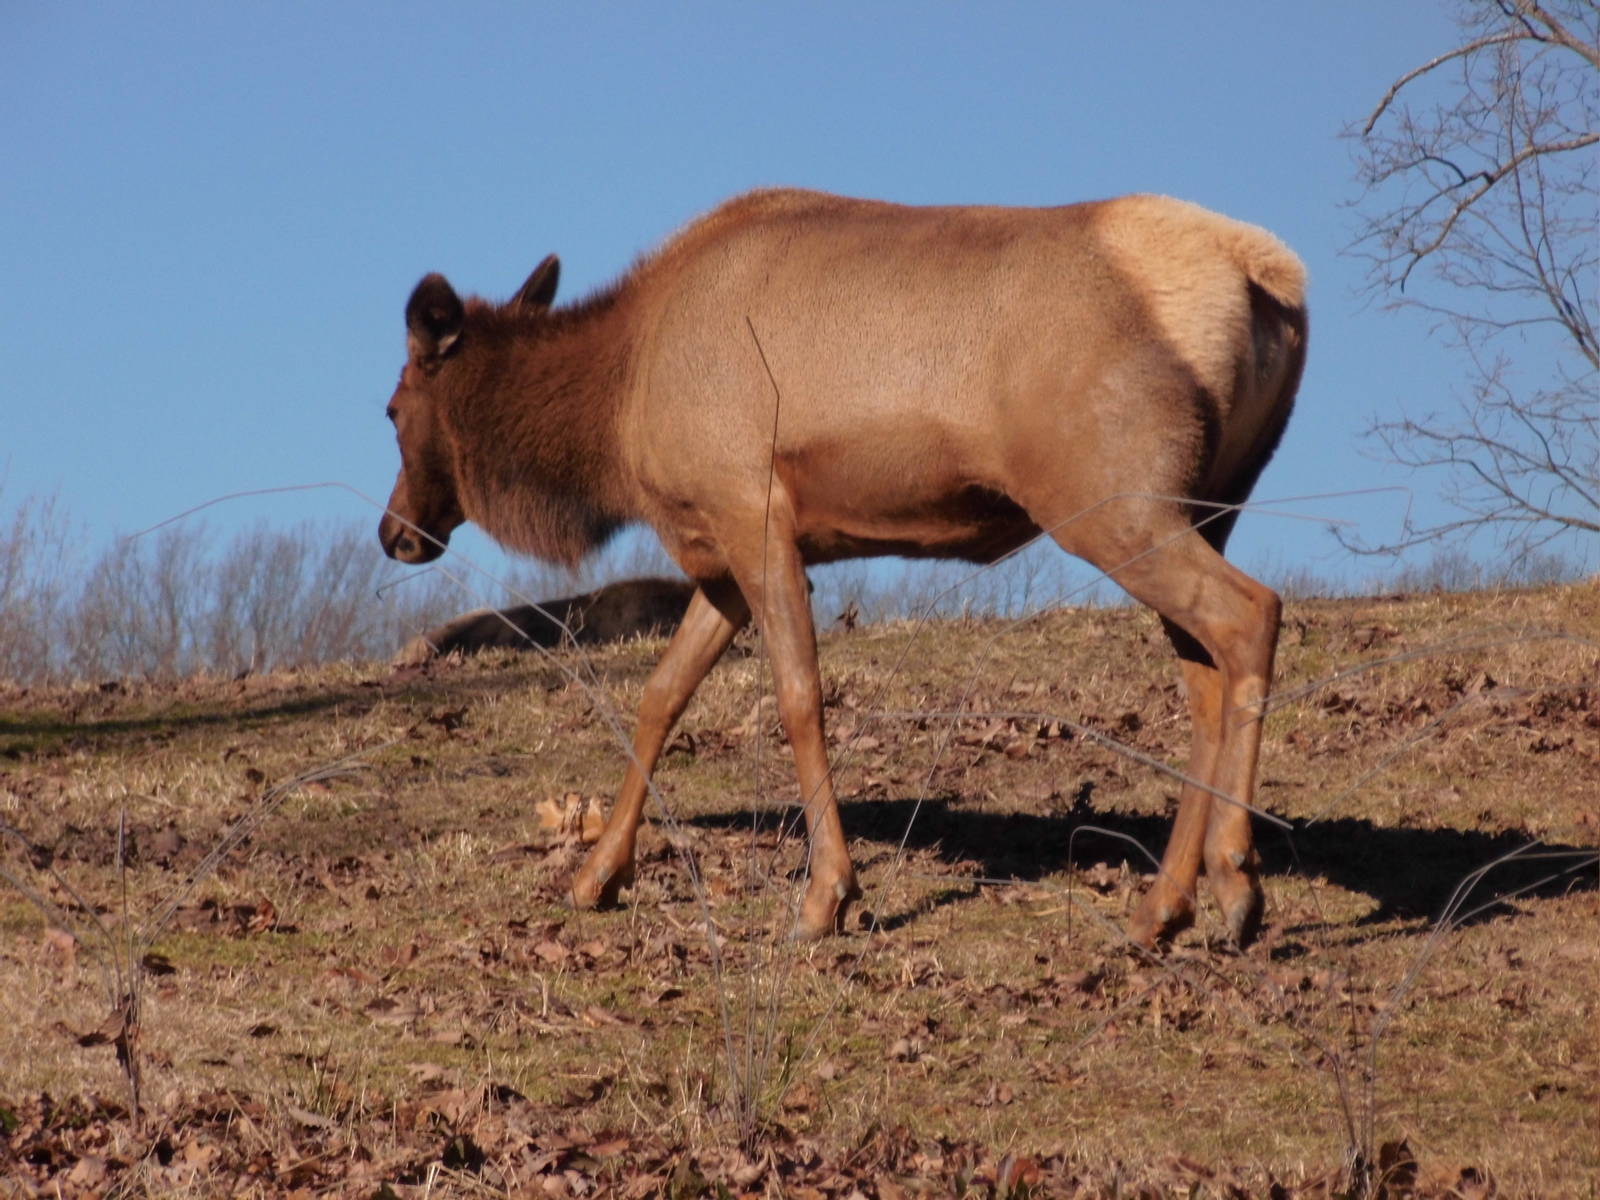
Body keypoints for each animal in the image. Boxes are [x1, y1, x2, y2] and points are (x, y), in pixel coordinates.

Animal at [377, 187, 1308, 949]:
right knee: (1204, 676)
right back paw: (1167, 906)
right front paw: (596, 874)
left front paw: (828, 896)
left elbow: (798, 696)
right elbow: (659, 696)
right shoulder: (719, 559)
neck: (618, 404)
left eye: (392, 408)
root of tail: (1274, 281)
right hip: (1208, 504)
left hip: (1112, 496)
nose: (395, 533)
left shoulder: (752, 508)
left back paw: (1236, 884)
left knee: (1251, 615)